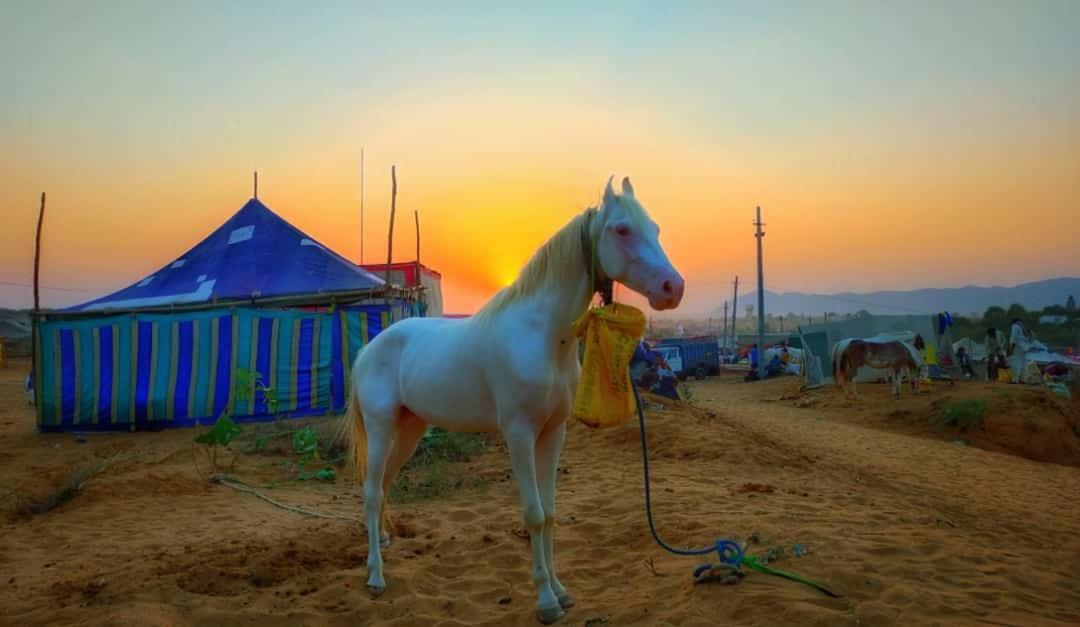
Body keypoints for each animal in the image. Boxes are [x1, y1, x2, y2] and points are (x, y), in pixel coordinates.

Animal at [345, 174, 682, 621]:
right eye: (622, 230)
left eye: (656, 229)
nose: (673, 287)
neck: (543, 336)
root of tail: (369, 349)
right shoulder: (519, 434)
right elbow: (534, 515)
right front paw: (546, 601)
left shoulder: (553, 434)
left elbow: (552, 513)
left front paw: (561, 591)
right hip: (382, 428)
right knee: (370, 492)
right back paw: (375, 576)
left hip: (410, 429)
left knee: (383, 486)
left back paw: (382, 545)